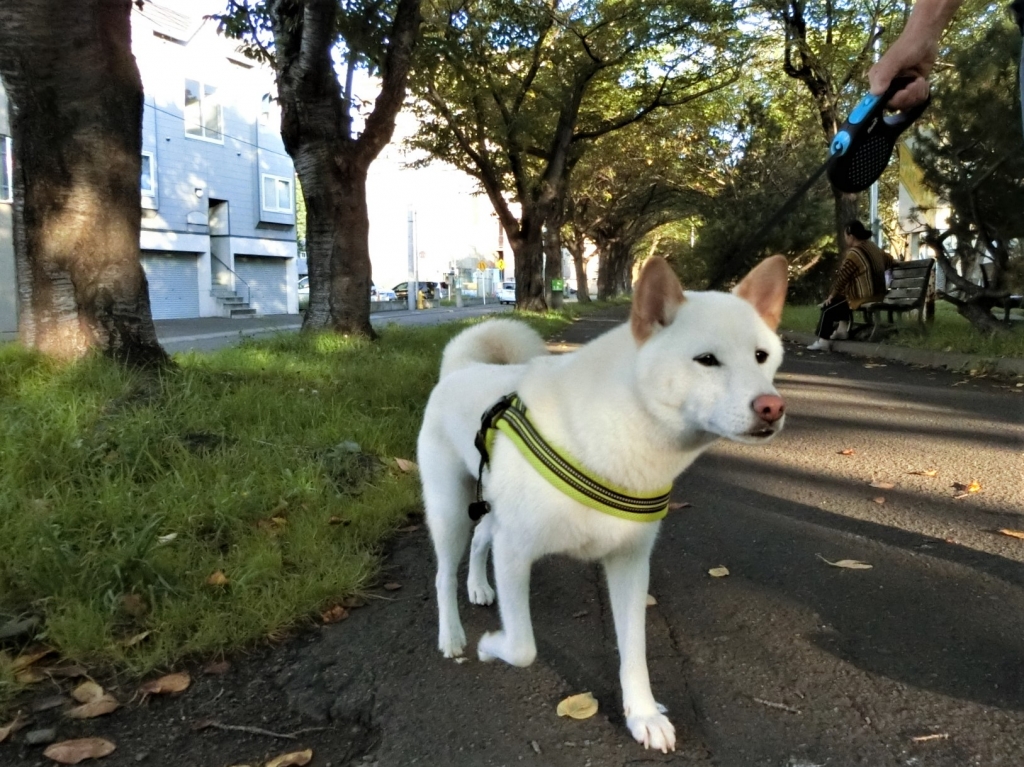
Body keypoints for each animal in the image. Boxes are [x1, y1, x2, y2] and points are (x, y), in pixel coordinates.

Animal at [417, 255, 788, 752]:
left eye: (761, 357)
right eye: (707, 360)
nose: (772, 407)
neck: (620, 433)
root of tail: (461, 368)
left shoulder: (630, 562)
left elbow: (634, 652)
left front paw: (643, 715)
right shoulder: (515, 554)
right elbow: (523, 648)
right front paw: (489, 645)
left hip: (493, 509)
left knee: (480, 539)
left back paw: (477, 586)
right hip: (449, 509)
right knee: (444, 572)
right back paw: (453, 635)